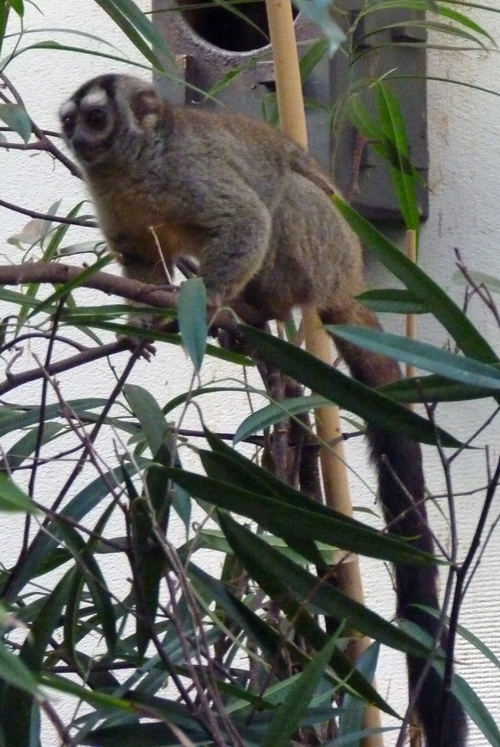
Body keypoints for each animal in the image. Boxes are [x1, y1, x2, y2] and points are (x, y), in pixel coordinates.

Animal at [59, 73, 467, 747]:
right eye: (70, 121)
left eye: (96, 118)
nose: (77, 141)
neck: (130, 168)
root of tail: (349, 279)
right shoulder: (112, 201)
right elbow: (140, 260)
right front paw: (142, 320)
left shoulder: (187, 171)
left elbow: (245, 219)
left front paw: (208, 302)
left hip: (322, 249)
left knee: (284, 203)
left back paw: (252, 306)